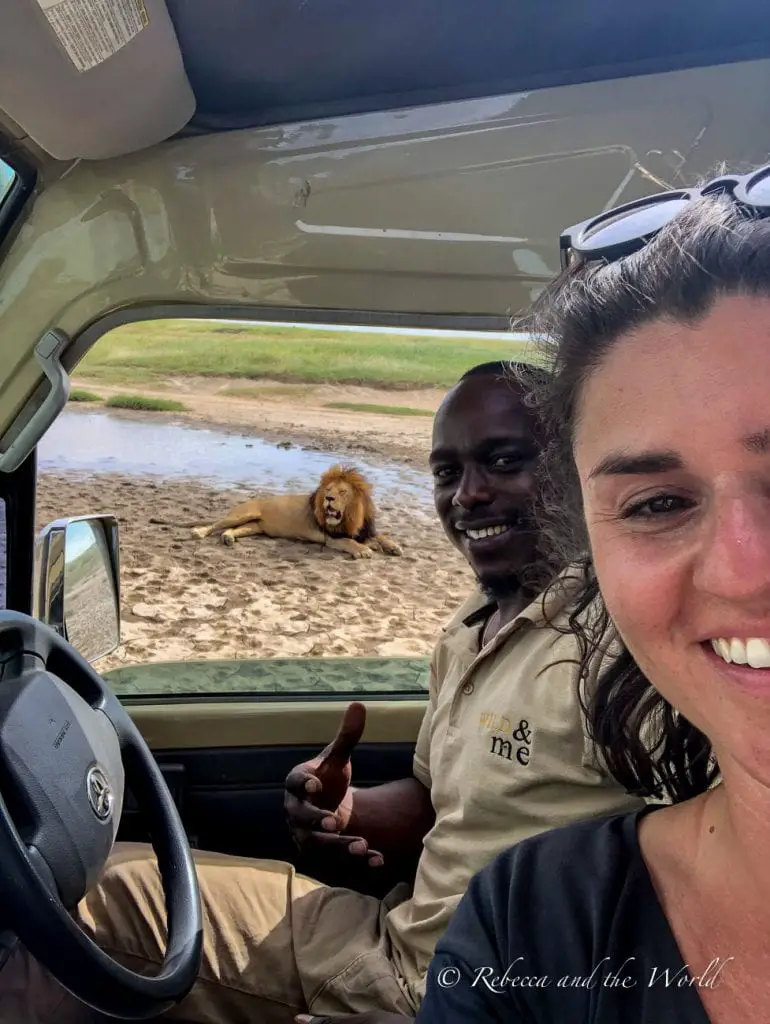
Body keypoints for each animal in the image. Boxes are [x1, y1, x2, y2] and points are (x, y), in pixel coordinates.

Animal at [188, 466, 403, 561]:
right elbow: (349, 541)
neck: (352, 517)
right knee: (217, 524)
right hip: (242, 514)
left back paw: (228, 538)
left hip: (255, 526)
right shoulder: (331, 537)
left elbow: (381, 535)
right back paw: (199, 532)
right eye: (328, 490)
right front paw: (363, 549)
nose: (329, 499)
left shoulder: (365, 529)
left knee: (235, 529)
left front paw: (393, 546)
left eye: (343, 492)